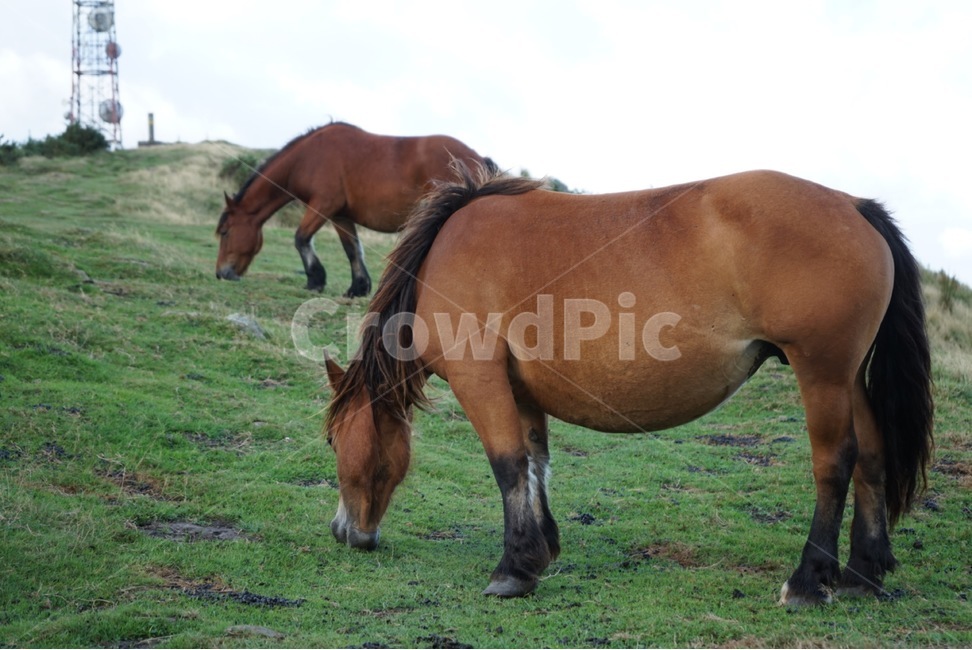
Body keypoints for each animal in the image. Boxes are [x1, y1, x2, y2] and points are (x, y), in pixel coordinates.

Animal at [214, 122, 494, 297]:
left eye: (225, 232)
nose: (221, 273)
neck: (308, 157)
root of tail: (478, 159)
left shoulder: (323, 206)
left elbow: (301, 238)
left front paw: (315, 280)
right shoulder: (340, 216)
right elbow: (352, 250)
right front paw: (357, 288)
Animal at [322, 162, 933, 606]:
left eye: (332, 441)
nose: (344, 532)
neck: (441, 257)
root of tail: (853, 204)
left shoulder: (482, 380)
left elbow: (507, 466)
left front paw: (512, 569)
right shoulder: (521, 390)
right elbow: (536, 463)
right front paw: (541, 551)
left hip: (821, 373)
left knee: (835, 463)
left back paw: (809, 580)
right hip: (848, 377)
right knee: (872, 457)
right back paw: (862, 574)